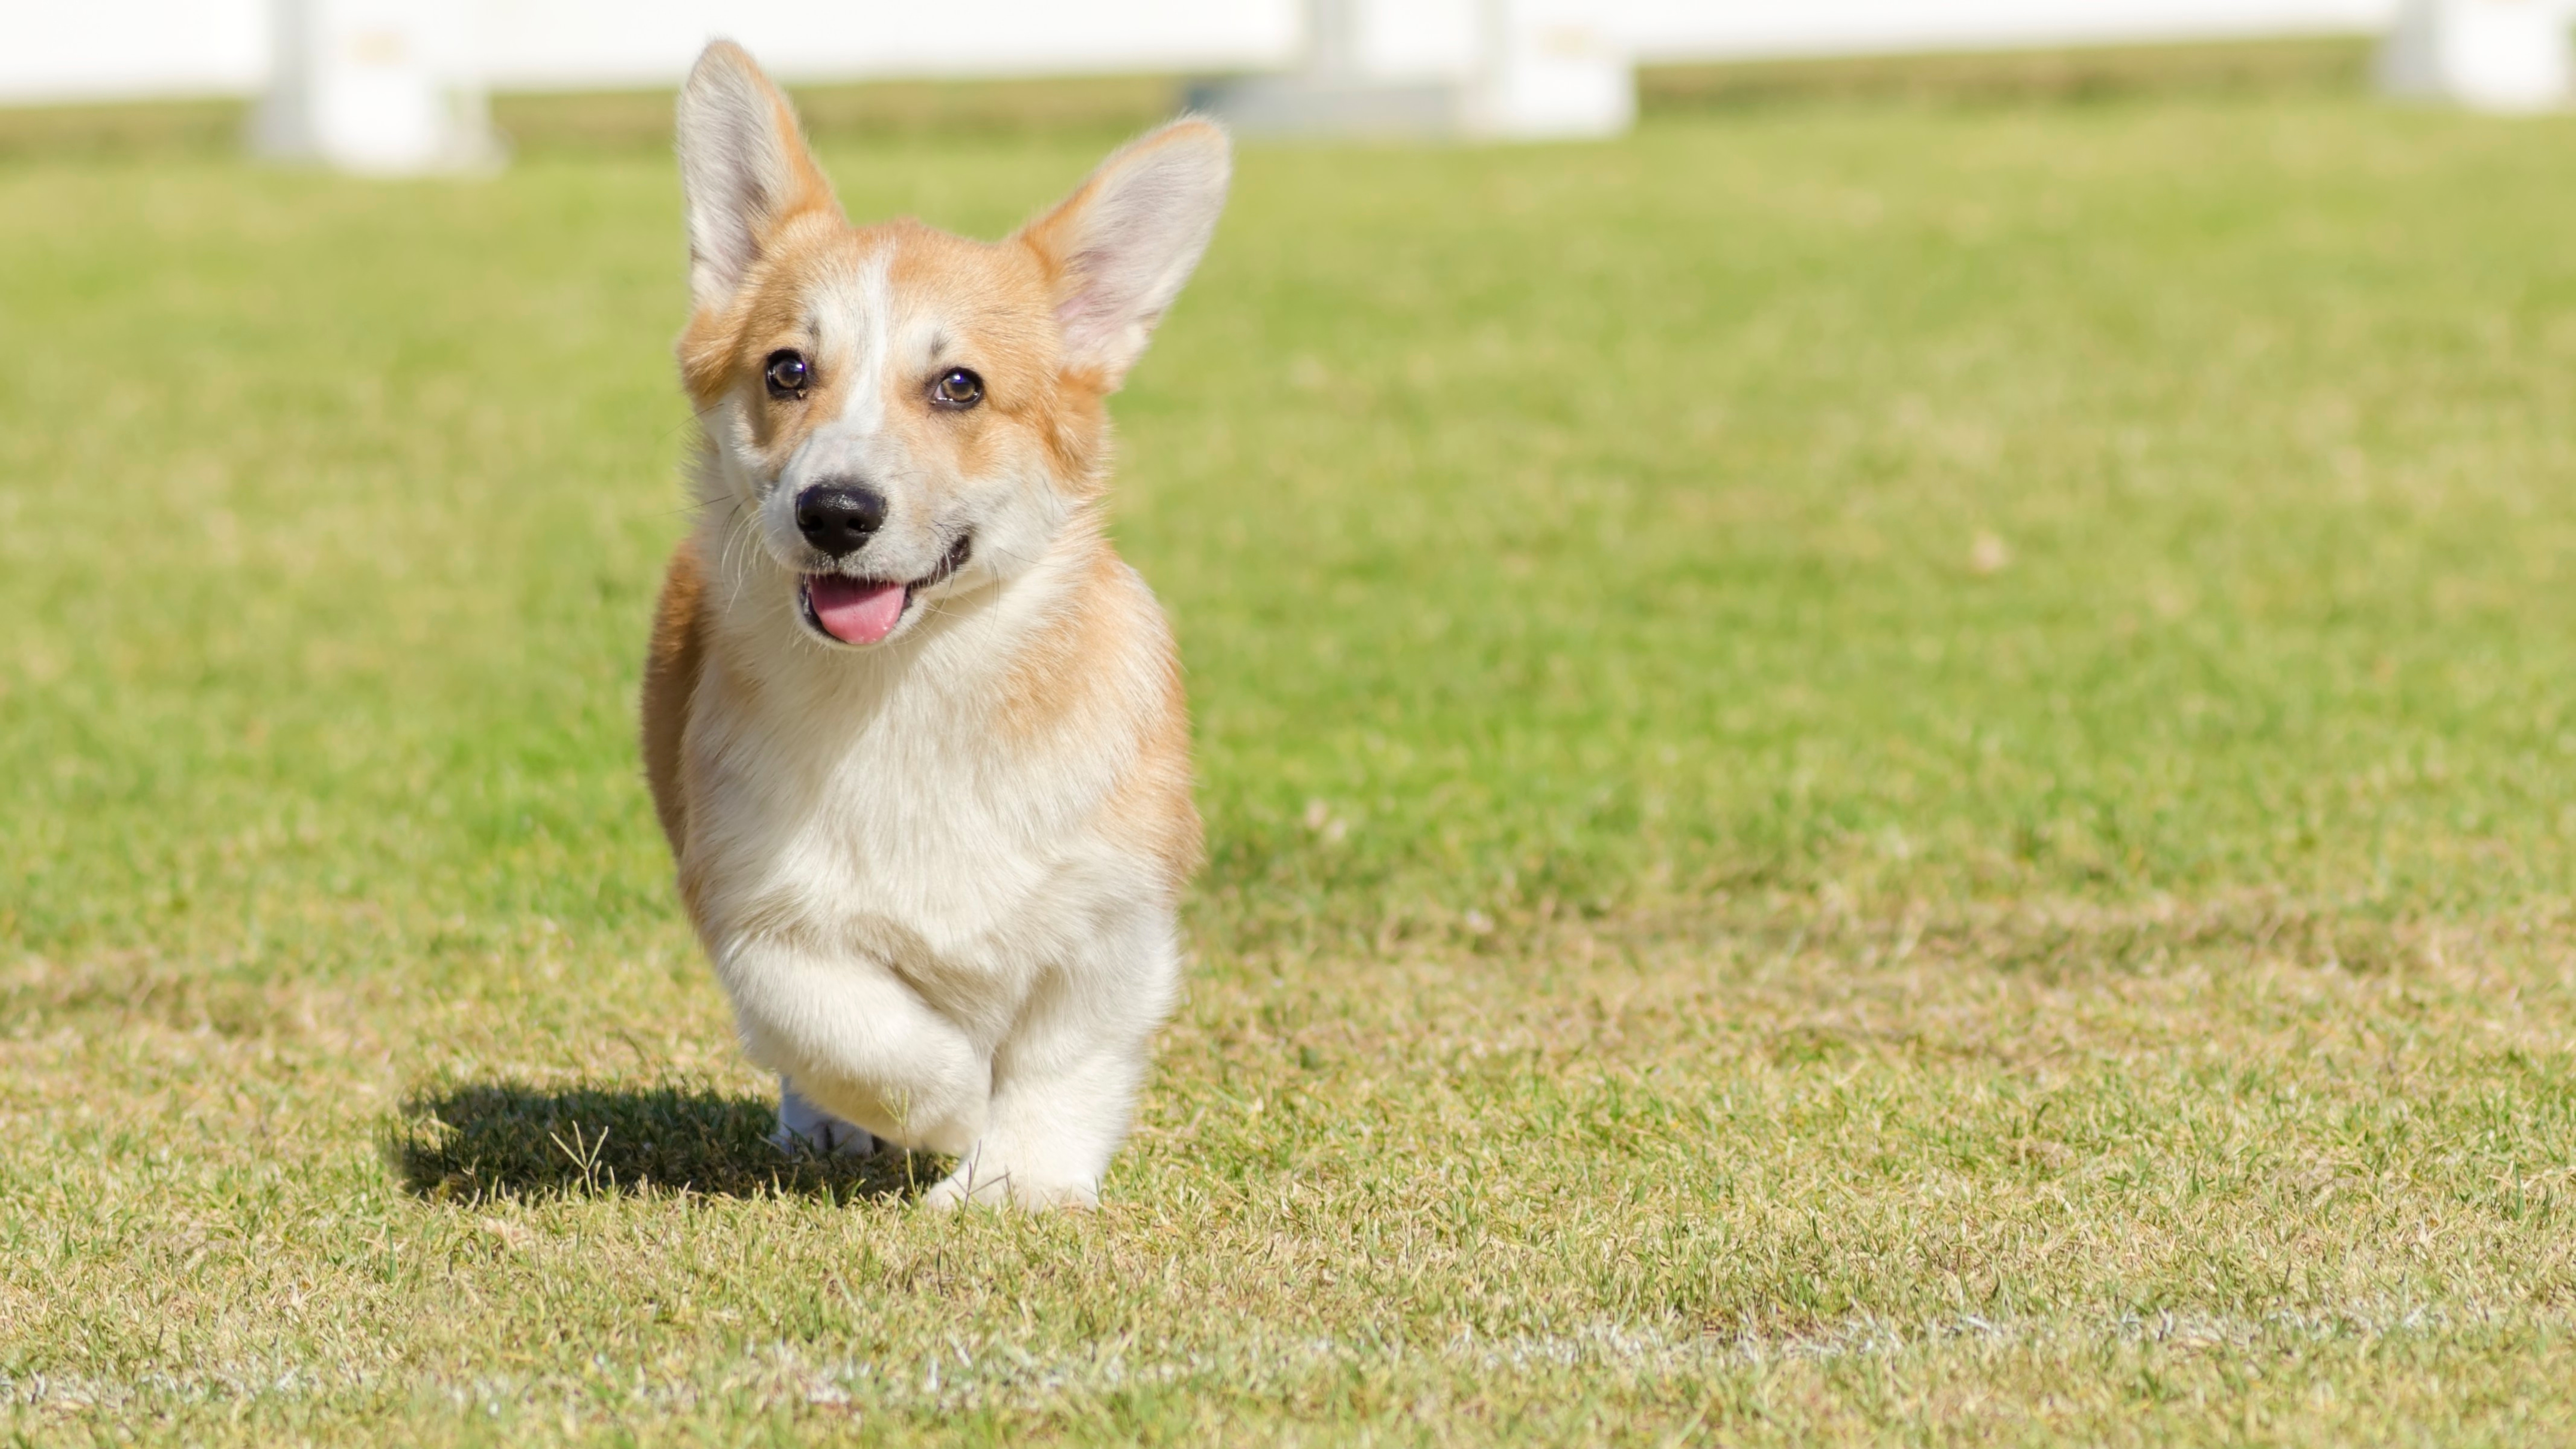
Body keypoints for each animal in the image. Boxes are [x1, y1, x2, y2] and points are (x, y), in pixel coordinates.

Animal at [631, 42, 1216, 1206]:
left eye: (959, 387)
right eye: (787, 371)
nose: (836, 511)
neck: (907, 689)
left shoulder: (1113, 918)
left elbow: (1063, 1058)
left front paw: (1019, 1182)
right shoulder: (753, 902)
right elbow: (848, 1027)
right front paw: (944, 1105)